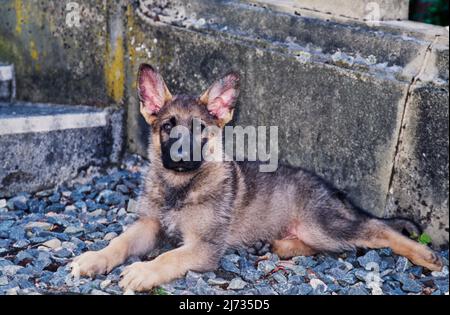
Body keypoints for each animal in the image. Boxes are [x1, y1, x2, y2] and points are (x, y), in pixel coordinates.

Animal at [72, 64, 442, 294]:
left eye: (200, 129)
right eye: (167, 127)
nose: (180, 155)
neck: (181, 187)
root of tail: (335, 192)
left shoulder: (204, 247)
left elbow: (168, 257)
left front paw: (144, 271)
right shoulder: (149, 225)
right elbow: (120, 242)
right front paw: (94, 258)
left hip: (322, 223)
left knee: (376, 230)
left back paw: (425, 256)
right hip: (312, 230)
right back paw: (277, 245)